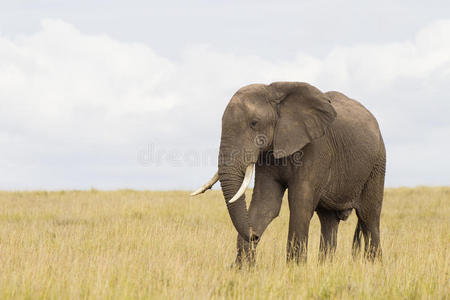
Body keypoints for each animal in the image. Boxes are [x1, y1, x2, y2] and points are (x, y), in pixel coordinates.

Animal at [192, 81, 384, 264]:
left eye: (254, 123)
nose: (255, 235)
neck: (276, 95)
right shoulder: (268, 154)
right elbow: (266, 203)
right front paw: (242, 269)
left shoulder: (316, 148)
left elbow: (300, 203)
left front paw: (295, 268)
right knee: (328, 221)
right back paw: (326, 266)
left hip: (377, 164)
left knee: (369, 217)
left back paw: (372, 265)